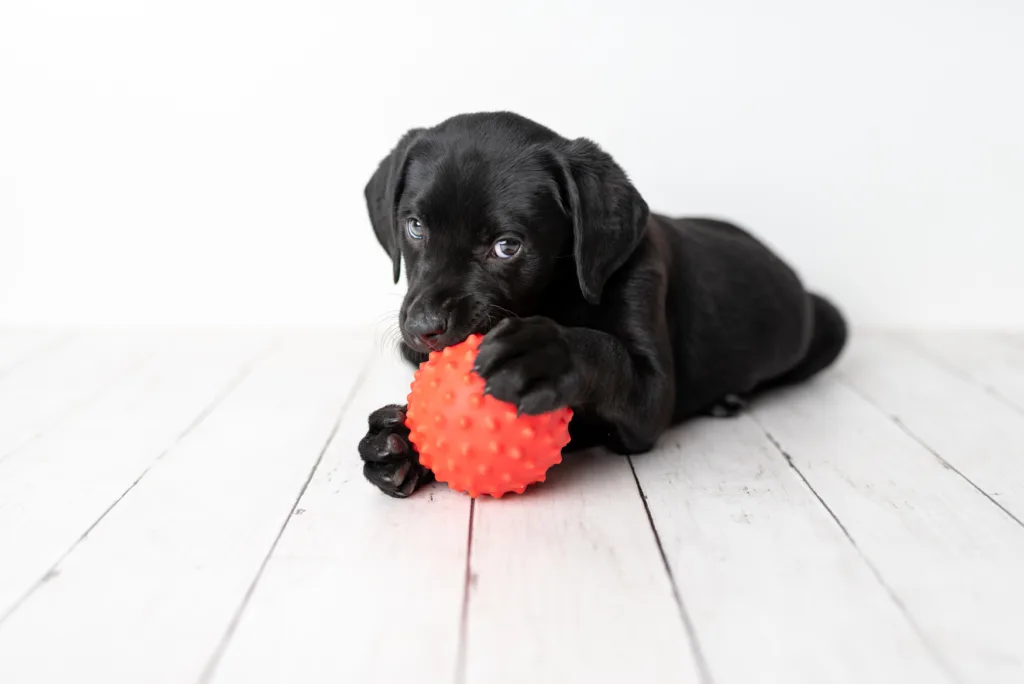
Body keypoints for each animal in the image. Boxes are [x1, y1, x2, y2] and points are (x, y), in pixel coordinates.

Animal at [356, 113, 843, 497]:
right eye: (415, 227)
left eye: (507, 246)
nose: (423, 329)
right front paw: (400, 444)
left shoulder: (649, 394)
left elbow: (610, 357)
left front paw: (543, 355)